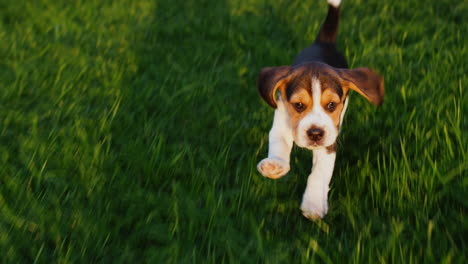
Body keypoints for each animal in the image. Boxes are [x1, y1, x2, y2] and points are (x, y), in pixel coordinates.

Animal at [256, 0, 384, 220]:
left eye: (331, 105)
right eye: (298, 105)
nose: (315, 133)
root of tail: (324, 42)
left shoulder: (329, 140)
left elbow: (319, 172)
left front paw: (313, 203)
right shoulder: (281, 117)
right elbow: (279, 142)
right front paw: (276, 165)